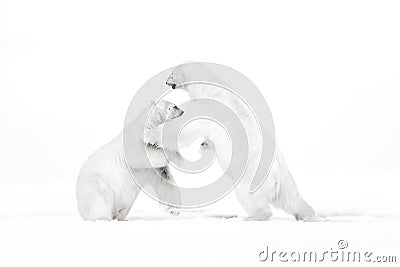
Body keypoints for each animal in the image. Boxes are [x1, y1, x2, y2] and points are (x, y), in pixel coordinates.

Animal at [166, 63, 316, 221]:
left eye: (172, 74)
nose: (166, 82)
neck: (207, 86)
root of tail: (277, 176)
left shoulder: (207, 105)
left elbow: (188, 124)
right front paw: (205, 144)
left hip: (250, 177)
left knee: (250, 198)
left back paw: (252, 217)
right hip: (287, 184)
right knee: (293, 201)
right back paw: (308, 215)